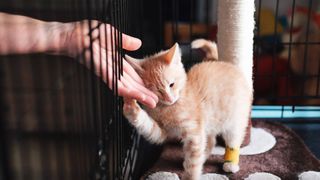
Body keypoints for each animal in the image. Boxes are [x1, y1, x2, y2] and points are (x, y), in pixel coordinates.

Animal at [122, 39, 252, 179]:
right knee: (210, 141)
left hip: (235, 119)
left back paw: (230, 163)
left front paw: (191, 175)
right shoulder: (163, 133)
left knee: (233, 139)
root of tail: (221, 62)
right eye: (156, 91)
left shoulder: (194, 133)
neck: (168, 108)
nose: (169, 98)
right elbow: (149, 127)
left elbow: (193, 165)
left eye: (171, 84)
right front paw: (130, 106)